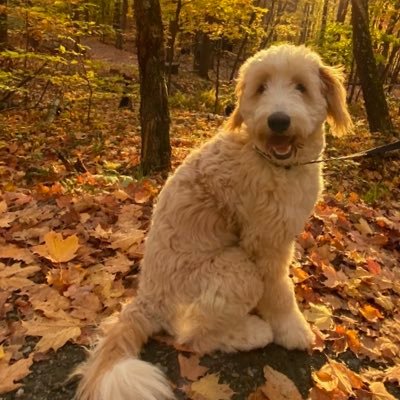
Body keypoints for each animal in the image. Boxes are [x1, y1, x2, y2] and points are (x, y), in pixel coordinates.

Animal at [76, 44, 352, 400]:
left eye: (301, 87)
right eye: (261, 87)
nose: (278, 121)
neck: (269, 160)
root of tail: (147, 300)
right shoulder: (265, 243)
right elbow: (280, 292)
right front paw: (292, 330)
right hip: (237, 270)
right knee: (193, 336)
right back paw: (253, 332)